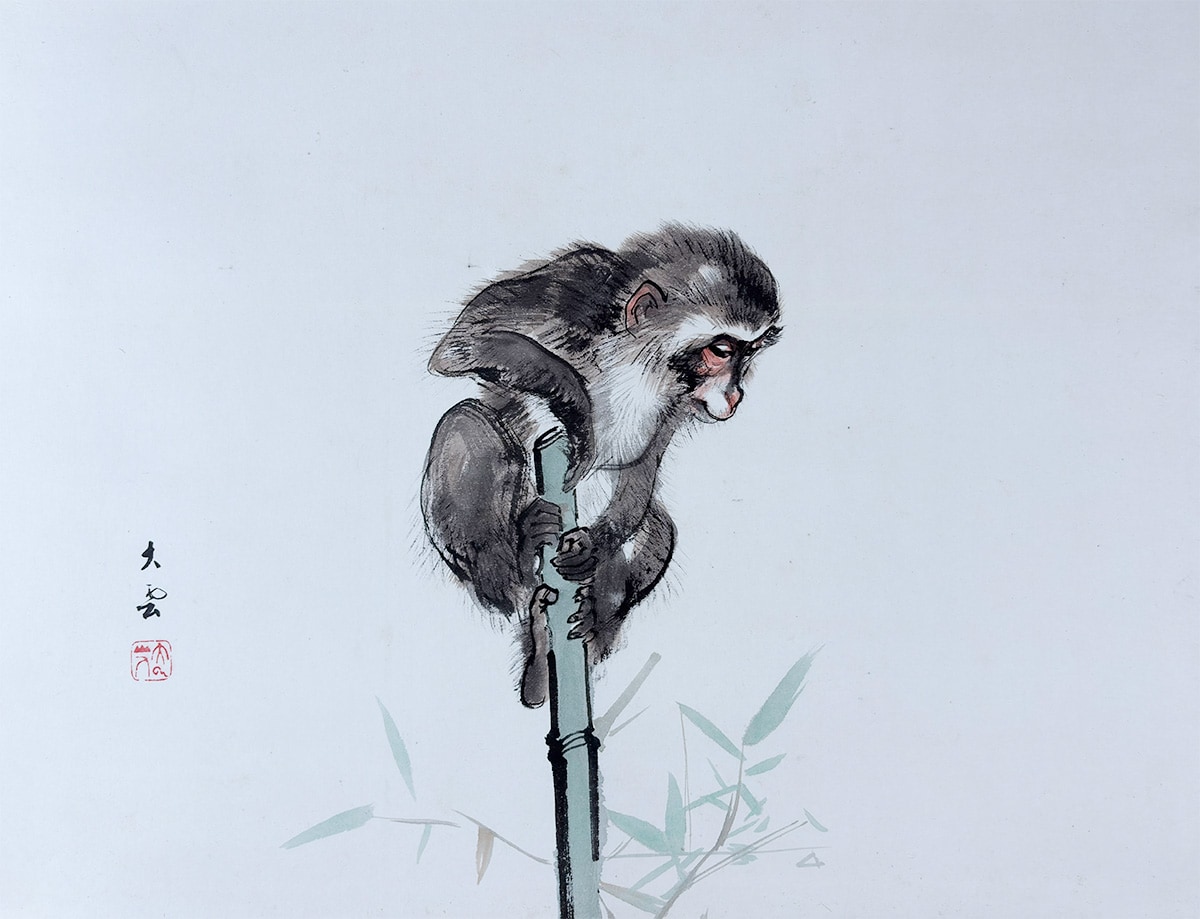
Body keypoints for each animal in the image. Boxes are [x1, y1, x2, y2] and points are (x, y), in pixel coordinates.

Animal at [420, 225, 781, 708]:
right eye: (722, 350)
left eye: (750, 352)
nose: (736, 393)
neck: (637, 356)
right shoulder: (577, 281)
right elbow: (462, 342)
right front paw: (575, 404)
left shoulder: (677, 399)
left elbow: (641, 465)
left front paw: (593, 547)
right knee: (469, 422)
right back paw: (520, 563)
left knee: (658, 528)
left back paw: (556, 650)